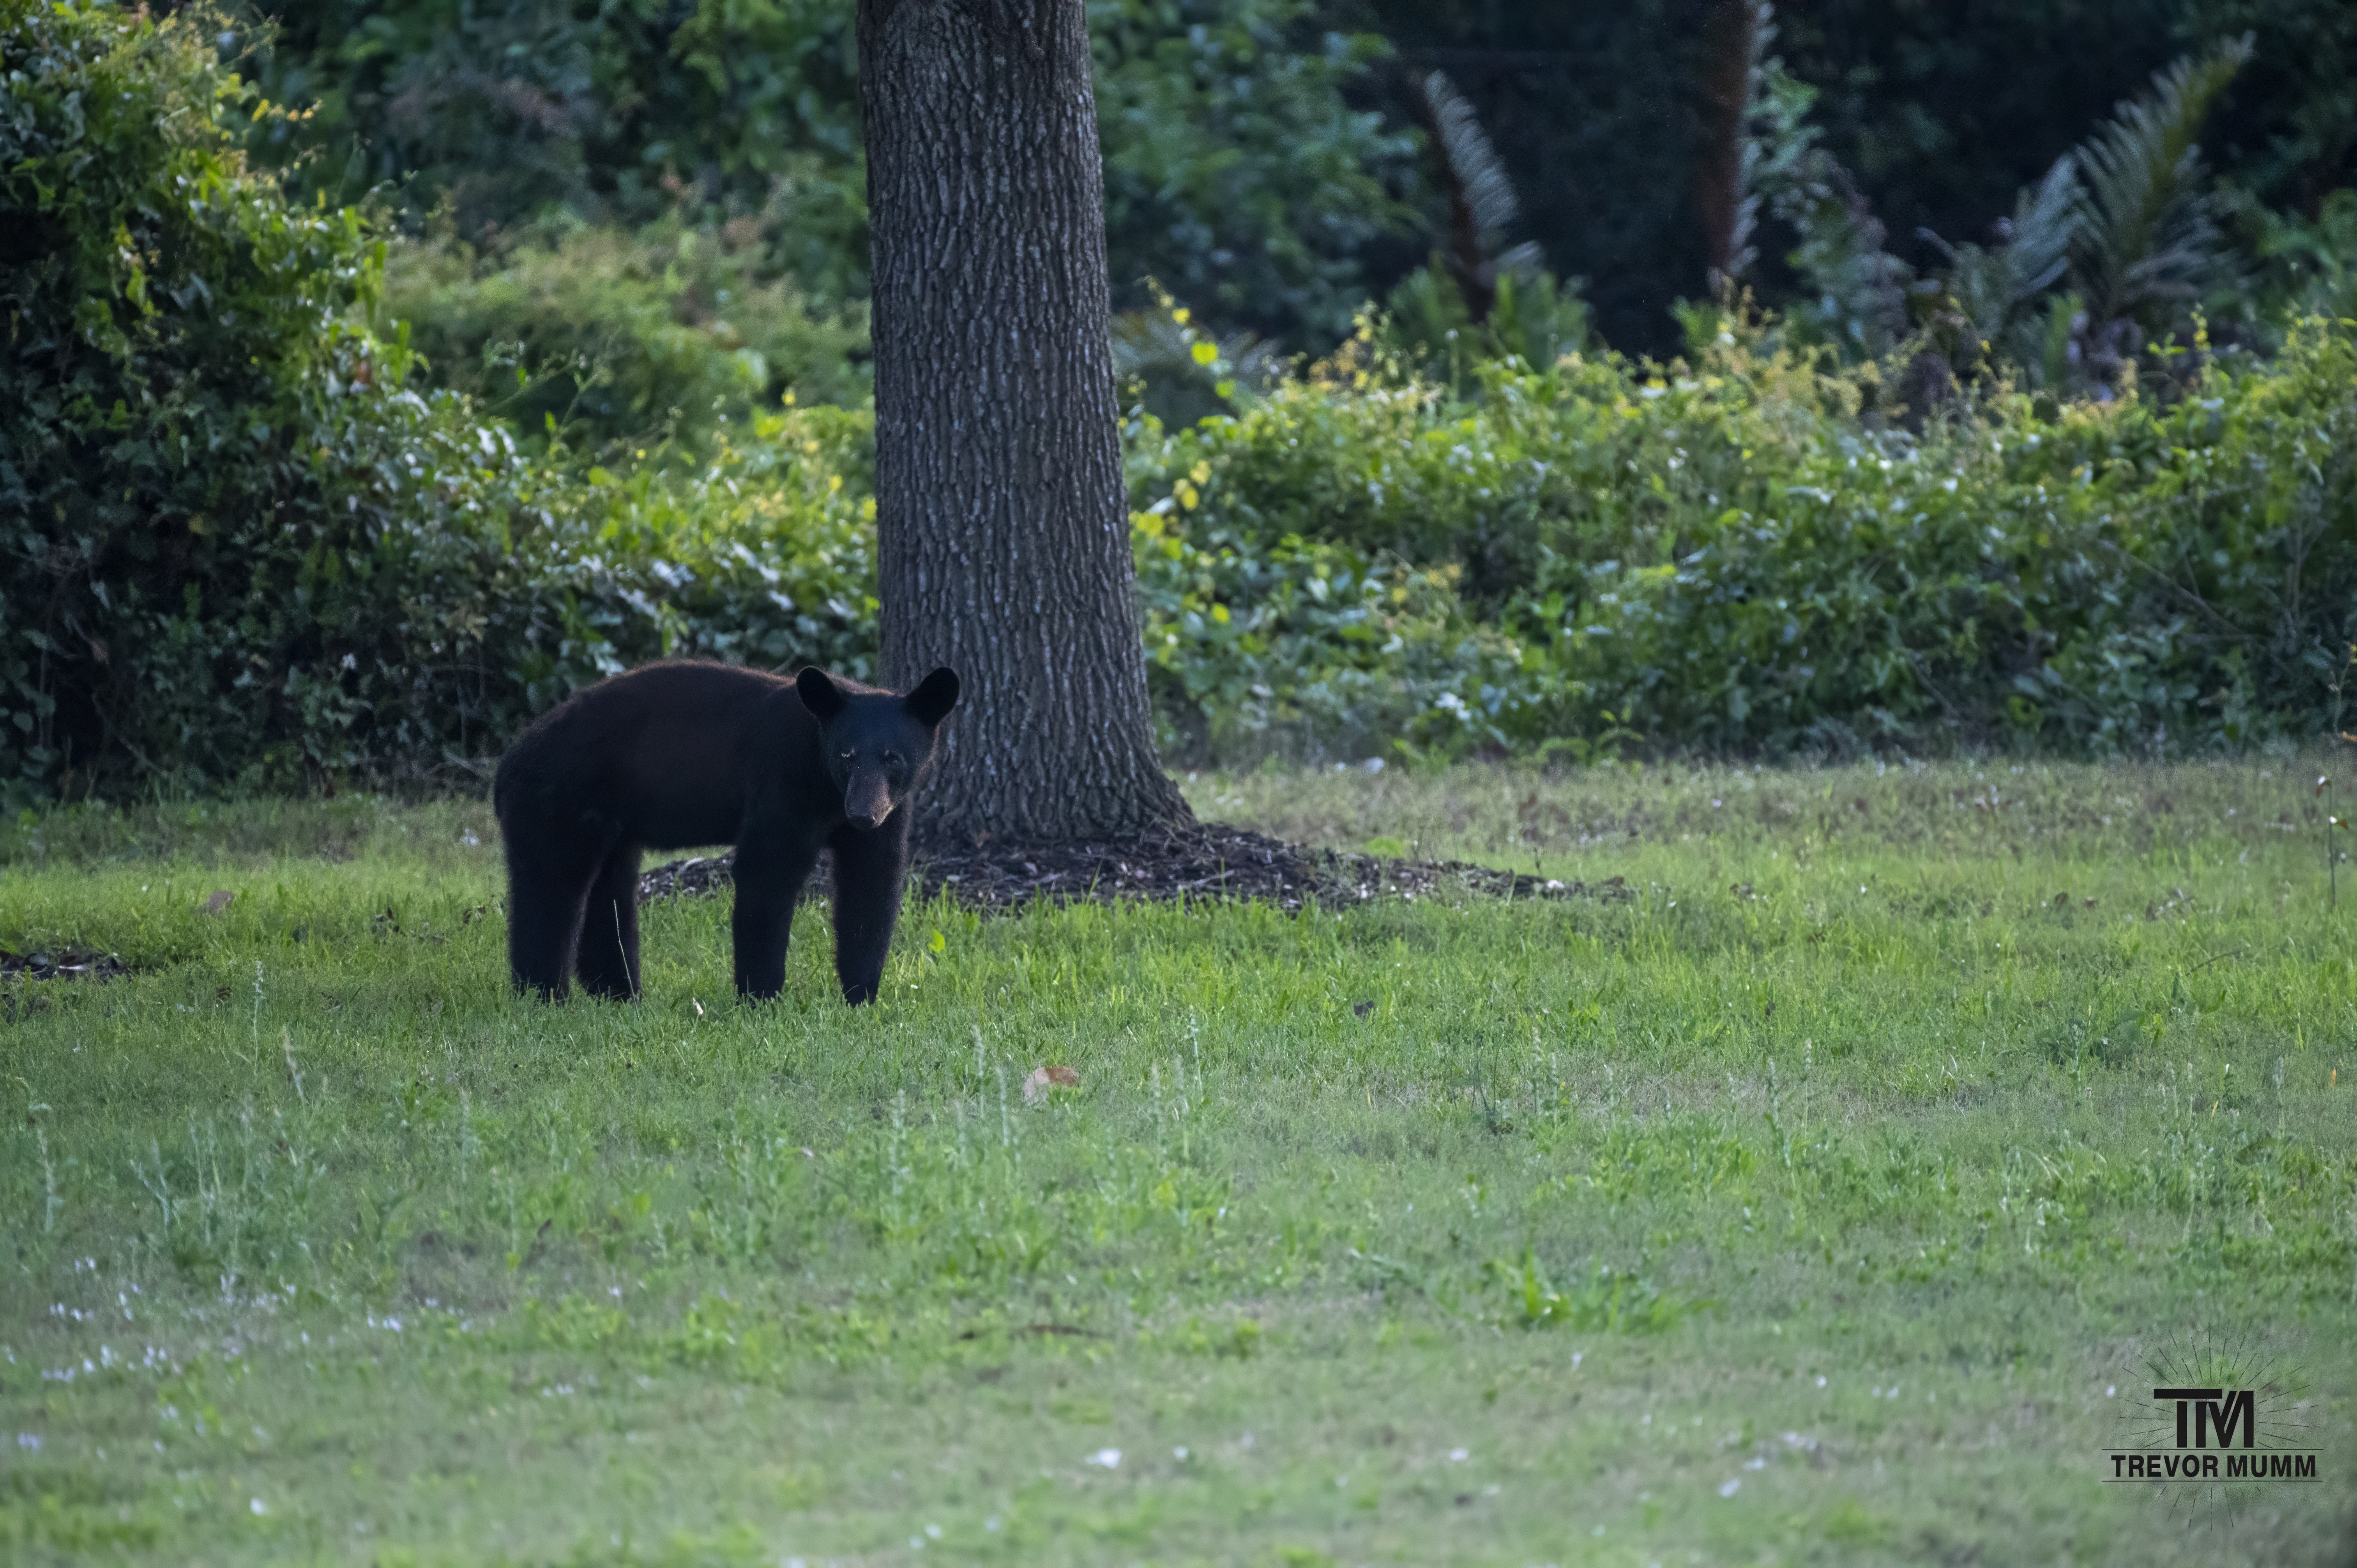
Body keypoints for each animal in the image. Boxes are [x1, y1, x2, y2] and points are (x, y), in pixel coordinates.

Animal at [492, 660, 960, 1005]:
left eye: (892, 758)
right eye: (847, 755)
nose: (863, 813)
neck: (827, 787)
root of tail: (506, 766)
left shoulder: (892, 813)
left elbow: (873, 886)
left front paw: (860, 996)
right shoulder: (781, 782)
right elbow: (766, 873)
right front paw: (761, 996)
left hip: (610, 824)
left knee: (609, 893)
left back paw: (621, 995)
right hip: (558, 806)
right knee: (551, 891)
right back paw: (545, 996)